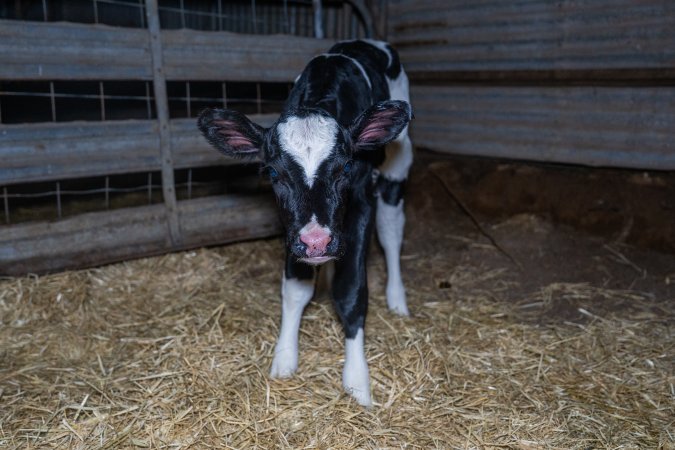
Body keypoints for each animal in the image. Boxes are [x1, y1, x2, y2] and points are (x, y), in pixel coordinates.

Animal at [197, 39, 413, 406]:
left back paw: (397, 299)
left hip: (398, 164)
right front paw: (284, 359)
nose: (316, 242)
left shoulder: (361, 201)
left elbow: (351, 290)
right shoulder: (291, 228)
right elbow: (295, 289)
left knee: (391, 232)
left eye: (345, 167)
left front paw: (357, 381)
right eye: (273, 173)